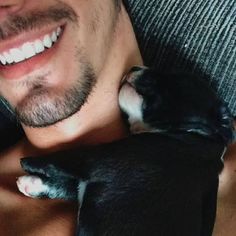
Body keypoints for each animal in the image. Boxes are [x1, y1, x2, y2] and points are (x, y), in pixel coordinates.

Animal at [16, 66, 234, 236]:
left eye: (177, 77)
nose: (134, 67)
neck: (196, 133)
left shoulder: (103, 159)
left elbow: (67, 158)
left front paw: (30, 164)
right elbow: (70, 185)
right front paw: (34, 184)